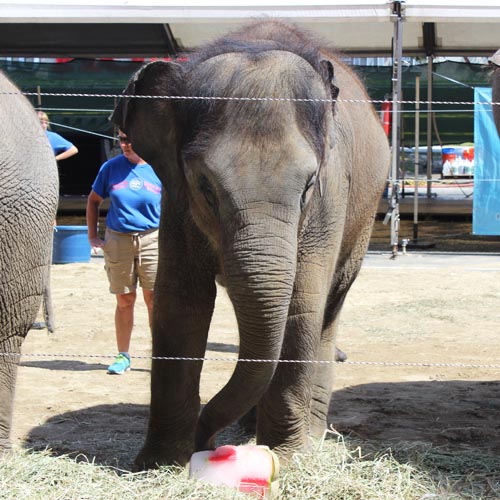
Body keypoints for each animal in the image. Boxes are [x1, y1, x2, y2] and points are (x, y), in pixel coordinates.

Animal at [114, 19, 390, 470]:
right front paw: (159, 463)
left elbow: (301, 304)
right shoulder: (176, 200)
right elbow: (180, 303)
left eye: (308, 185)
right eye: (205, 186)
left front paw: (285, 457)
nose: (209, 443)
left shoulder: (331, 197)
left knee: (329, 310)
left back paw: (312, 434)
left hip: (362, 220)